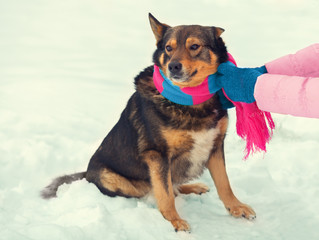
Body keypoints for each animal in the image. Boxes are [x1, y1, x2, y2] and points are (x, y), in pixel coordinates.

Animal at [42, 13, 258, 232]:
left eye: (195, 46)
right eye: (168, 48)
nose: (173, 66)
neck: (191, 100)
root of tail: (86, 174)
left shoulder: (214, 145)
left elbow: (224, 184)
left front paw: (236, 207)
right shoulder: (157, 154)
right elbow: (165, 194)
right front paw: (174, 221)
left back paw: (194, 186)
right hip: (112, 178)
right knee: (159, 189)